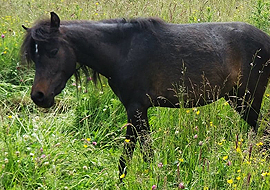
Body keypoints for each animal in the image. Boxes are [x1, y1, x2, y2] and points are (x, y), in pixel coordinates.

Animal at [21, 11, 270, 181]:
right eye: (34, 56)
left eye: (53, 51)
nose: (38, 96)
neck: (122, 51)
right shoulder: (136, 111)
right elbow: (133, 155)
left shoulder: (136, 108)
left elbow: (139, 153)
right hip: (237, 99)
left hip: (248, 100)